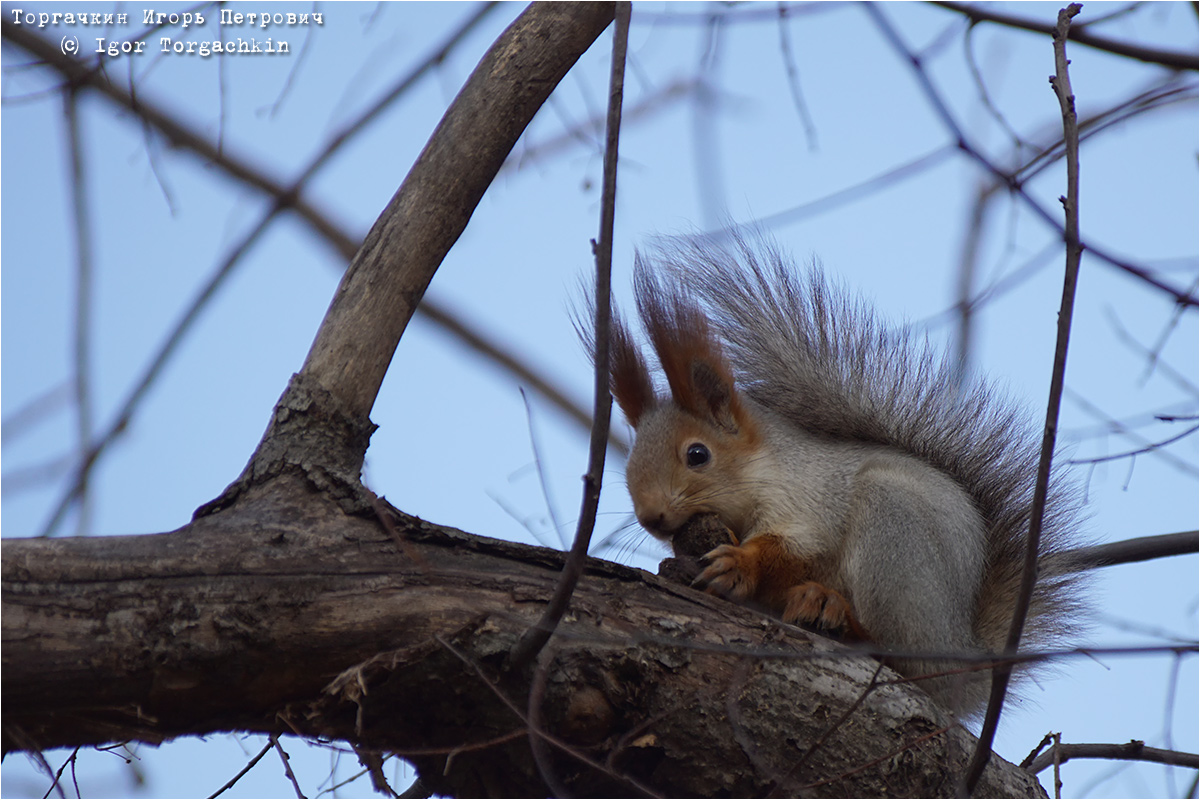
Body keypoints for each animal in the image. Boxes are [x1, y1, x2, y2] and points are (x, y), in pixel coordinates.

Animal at [597, 235, 1089, 714]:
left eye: (697, 455)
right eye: (630, 463)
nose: (651, 517)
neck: (766, 470)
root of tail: (962, 657)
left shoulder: (812, 501)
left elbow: (794, 550)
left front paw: (740, 562)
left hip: (895, 538)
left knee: (903, 654)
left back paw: (837, 614)